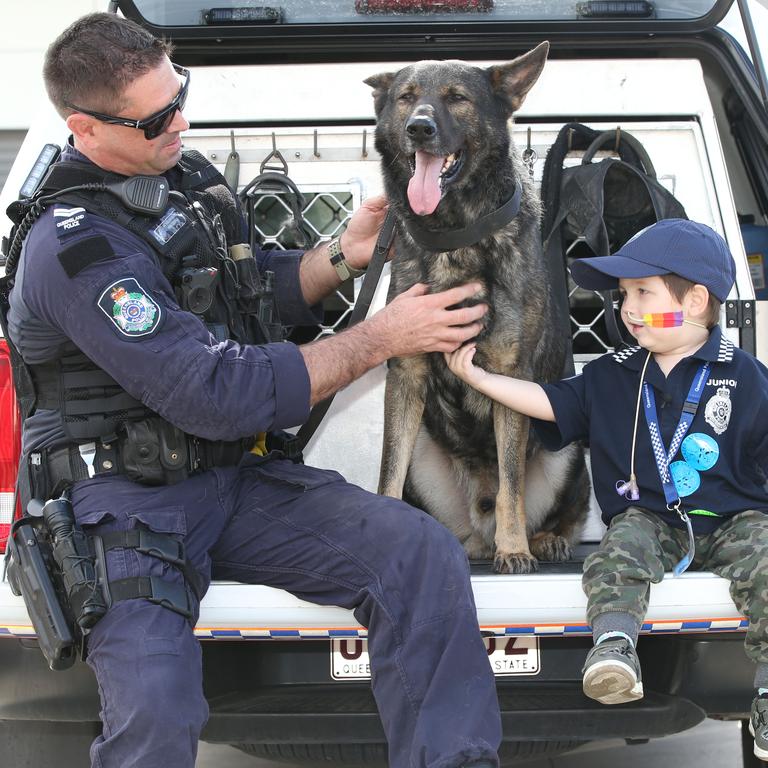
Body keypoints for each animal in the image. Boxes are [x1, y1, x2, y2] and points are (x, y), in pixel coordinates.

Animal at [366, 40, 588, 568]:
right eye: (407, 97)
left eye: (457, 98)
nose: (419, 129)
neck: (454, 236)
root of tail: (477, 528)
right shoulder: (406, 376)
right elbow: (387, 473)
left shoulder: (511, 377)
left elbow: (511, 485)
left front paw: (515, 548)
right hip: (425, 458)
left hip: (569, 450)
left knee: (550, 510)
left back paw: (541, 540)